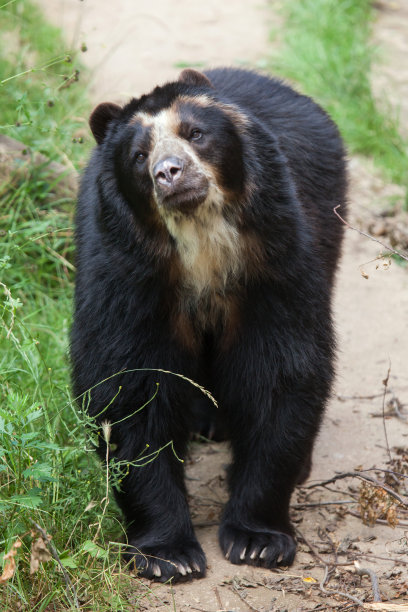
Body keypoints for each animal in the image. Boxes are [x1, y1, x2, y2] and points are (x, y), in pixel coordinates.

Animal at [71, 67, 348, 584]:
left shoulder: (275, 257)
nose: (169, 172)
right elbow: (130, 386)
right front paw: (168, 553)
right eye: (139, 156)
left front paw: (258, 540)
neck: (201, 243)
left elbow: (281, 373)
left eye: (195, 133)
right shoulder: (127, 277)